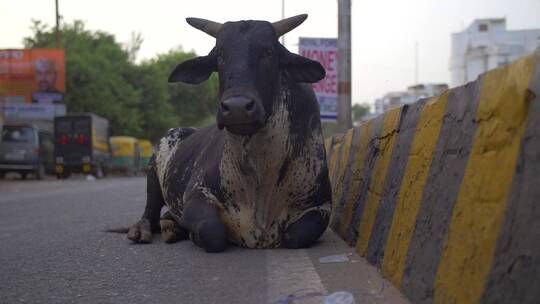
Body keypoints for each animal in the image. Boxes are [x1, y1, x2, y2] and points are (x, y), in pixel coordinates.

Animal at [126, 14, 332, 252]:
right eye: (220, 55)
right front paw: (193, 234)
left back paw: (171, 226)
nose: (237, 107)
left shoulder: (321, 205)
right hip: (153, 167)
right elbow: (211, 231)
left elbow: (295, 236)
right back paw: (144, 230)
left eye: (269, 51)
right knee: (150, 209)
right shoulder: (197, 194)